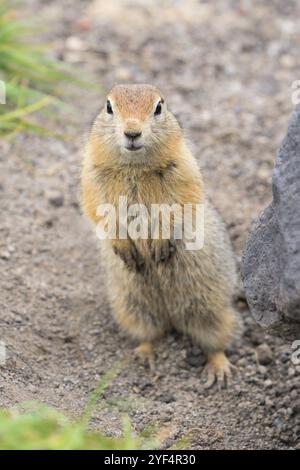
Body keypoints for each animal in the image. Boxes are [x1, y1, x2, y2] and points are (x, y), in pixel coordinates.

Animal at [81, 84, 238, 390]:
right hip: (131, 306)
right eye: (109, 107)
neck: (134, 166)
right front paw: (127, 249)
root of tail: (172, 317)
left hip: (212, 307)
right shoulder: (92, 175)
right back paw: (144, 355)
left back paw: (219, 370)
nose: (132, 132)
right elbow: (98, 210)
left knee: (217, 339)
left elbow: (181, 205)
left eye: (158, 107)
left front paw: (160, 247)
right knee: (149, 333)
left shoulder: (184, 168)